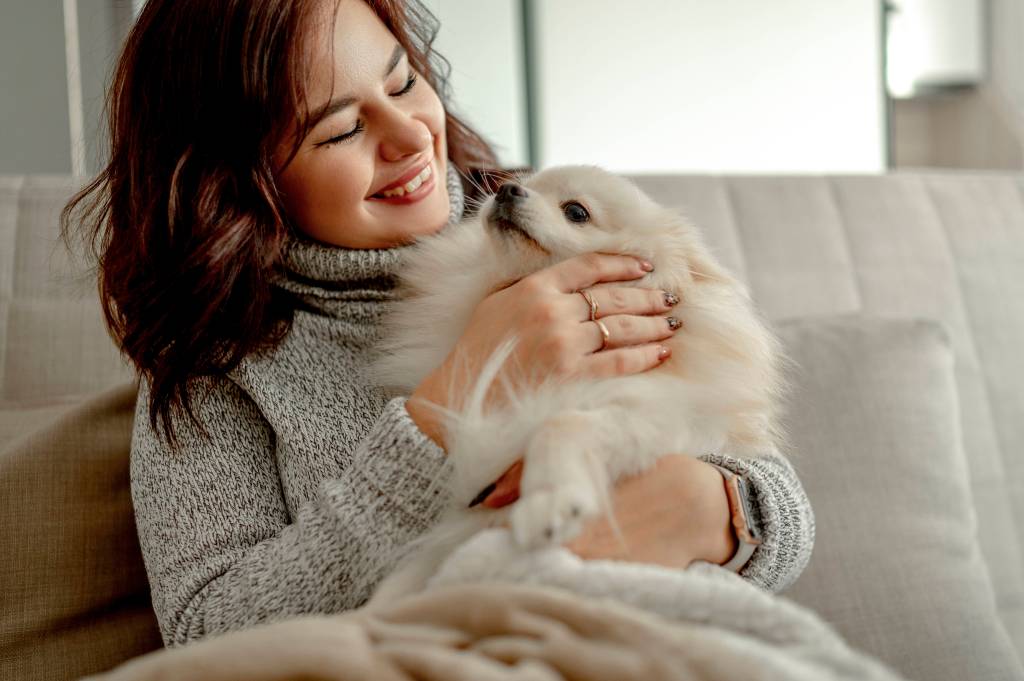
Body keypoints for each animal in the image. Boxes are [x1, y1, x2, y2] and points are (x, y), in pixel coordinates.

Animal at [366, 164, 782, 606]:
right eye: (523, 185)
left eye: (576, 212)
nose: (507, 189)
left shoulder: (659, 417)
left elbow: (561, 424)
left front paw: (551, 501)